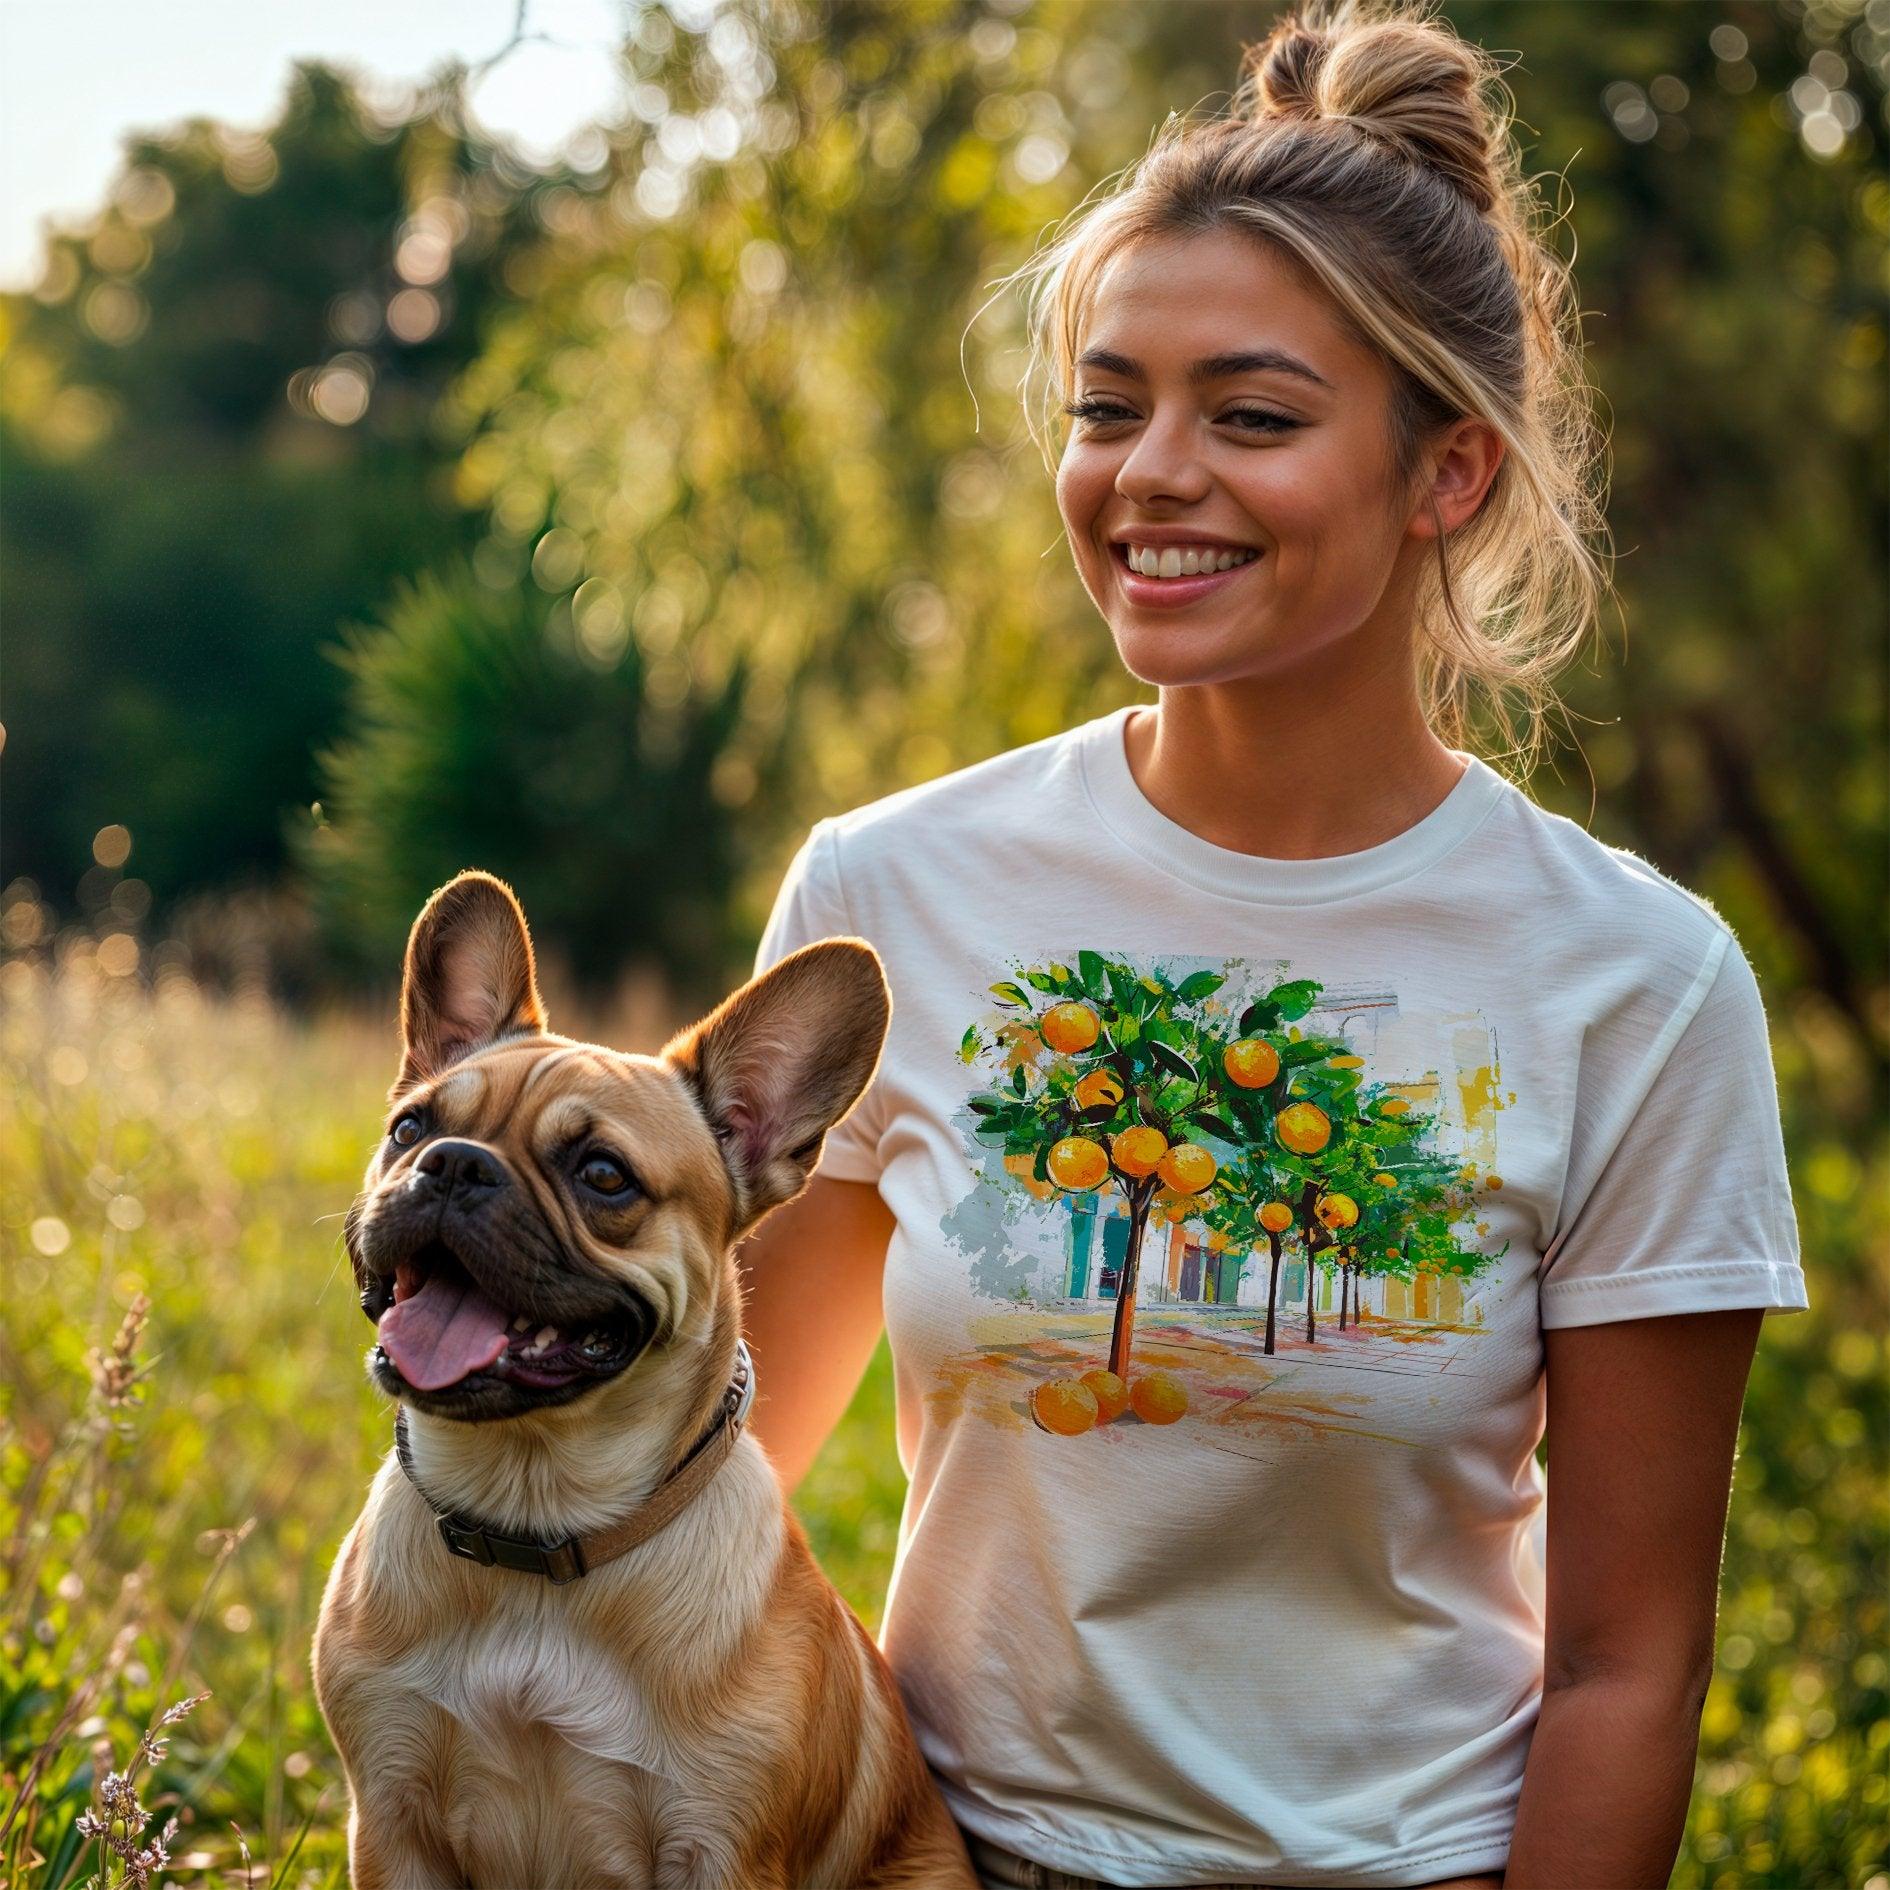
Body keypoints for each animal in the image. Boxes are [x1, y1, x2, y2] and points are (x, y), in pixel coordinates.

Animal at [309, 869, 975, 1890]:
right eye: (409, 1127)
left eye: (604, 1176)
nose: (454, 1164)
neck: (534, 1520)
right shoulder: (391, 1821)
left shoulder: (718, 1849)